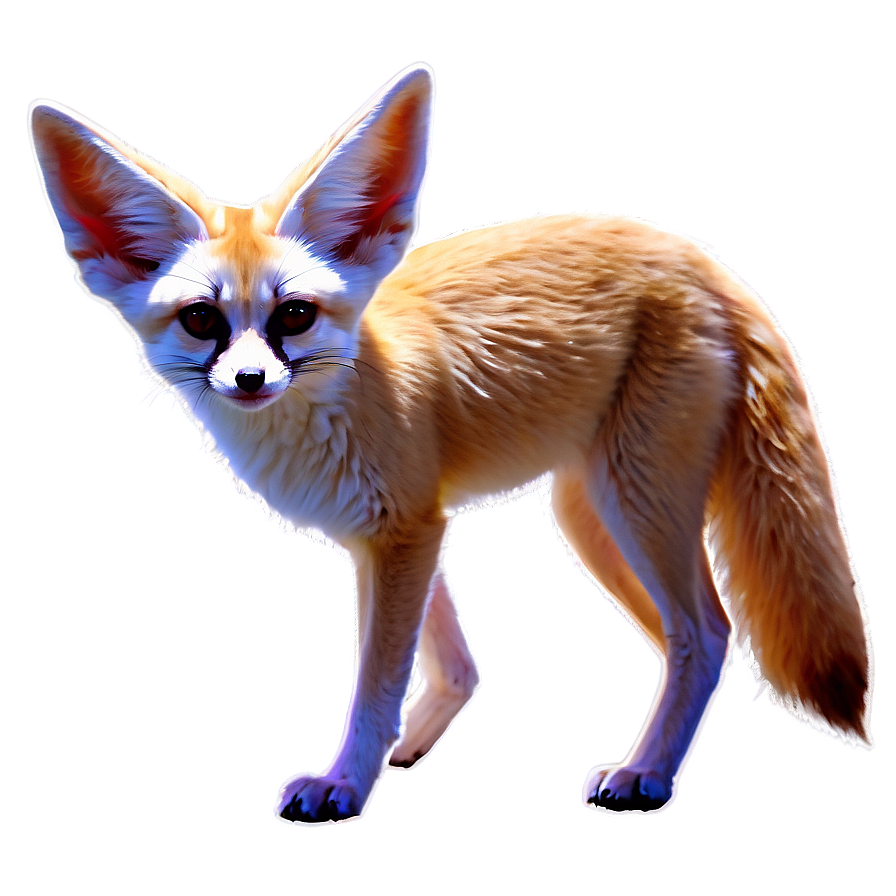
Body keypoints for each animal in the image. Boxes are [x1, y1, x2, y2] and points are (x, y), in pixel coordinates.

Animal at [30, 64, 869, 823]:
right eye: (202, 321)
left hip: (634, 507)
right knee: (692, 637)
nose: (248, 379)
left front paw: (347, 784)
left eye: (293, 315)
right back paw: (650, 756)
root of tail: (701, 257)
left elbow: (377, 682)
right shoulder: (397, 532)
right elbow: (453, 665)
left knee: (706, 632)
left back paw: (650, 775)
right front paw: (404, 749)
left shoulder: (408, 533)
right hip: (594, 519)